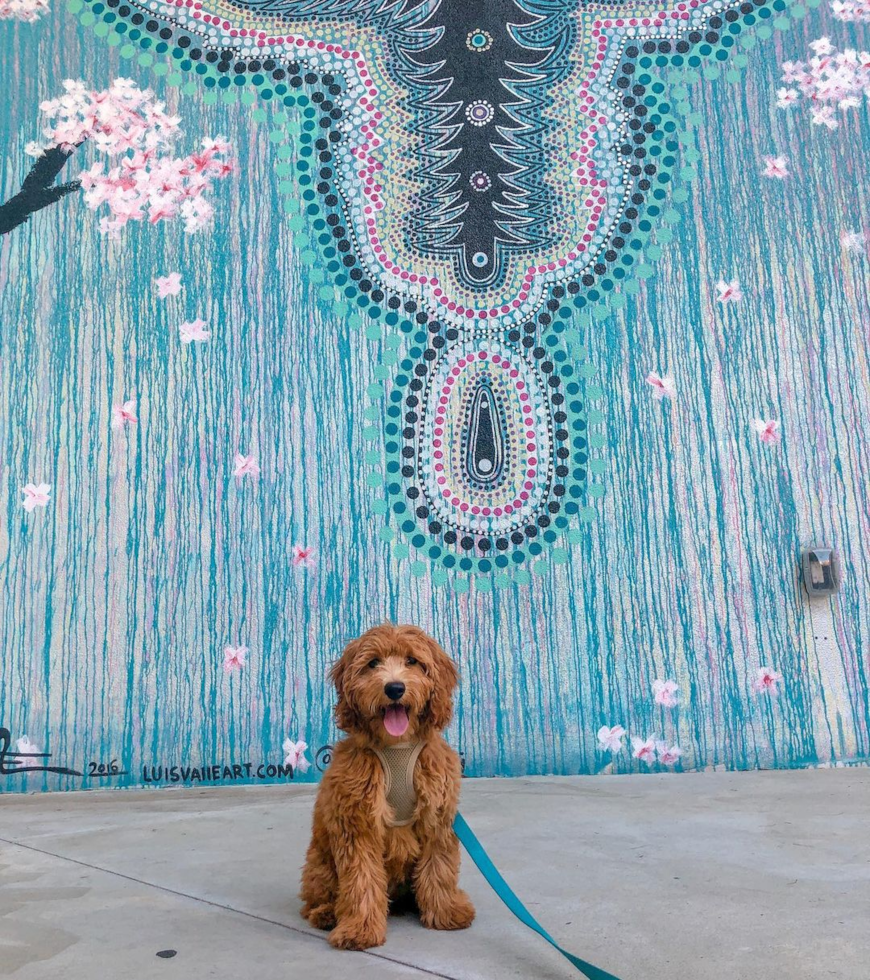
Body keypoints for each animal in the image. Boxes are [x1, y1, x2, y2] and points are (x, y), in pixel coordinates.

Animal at [300, 624, 476, 952]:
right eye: (373, 663)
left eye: (412, 661)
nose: (394, 688)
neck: (397, 745)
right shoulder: (356, 823)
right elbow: (361, 878)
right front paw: (360, 929)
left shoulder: (437, 816)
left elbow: (440, 867)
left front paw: (446, 912)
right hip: (319, 862)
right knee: (315, 898)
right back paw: (327, 913)